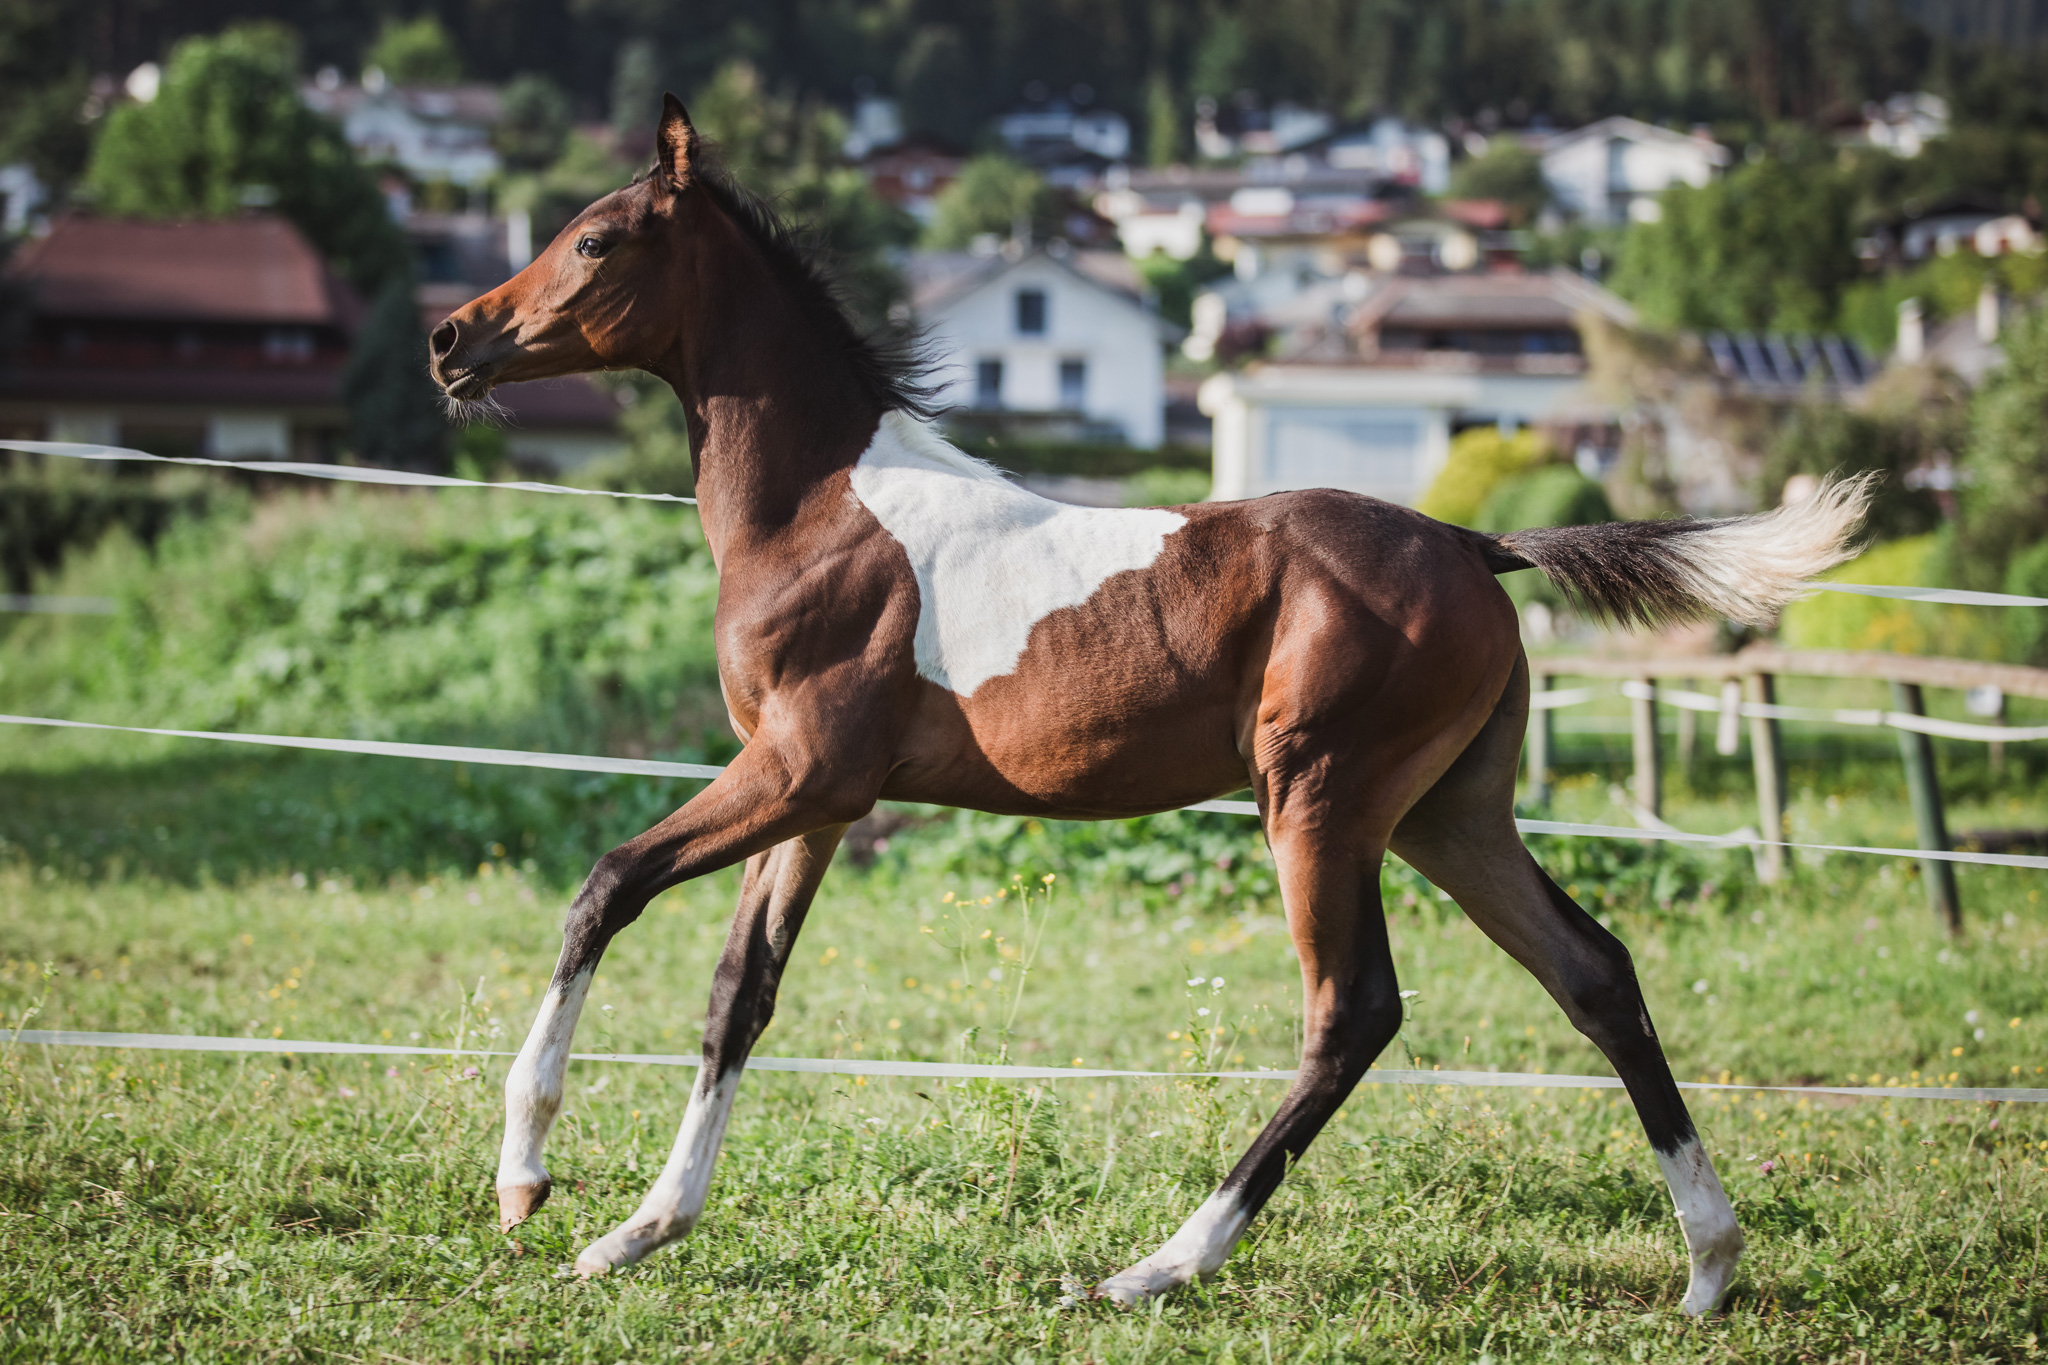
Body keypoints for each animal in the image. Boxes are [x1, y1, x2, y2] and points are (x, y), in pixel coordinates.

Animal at [432, 96, 1875, 1309]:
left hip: (1320, 798)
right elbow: (740, 991)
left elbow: (606, 884)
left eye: (595, 239)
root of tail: (1475, 546)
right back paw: (1708, 1269)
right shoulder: (820, 802)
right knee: (1594, 972)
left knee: (1353, 1014)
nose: (453, 340)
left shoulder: (797, 771)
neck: (822, 509)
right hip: (1449, 816)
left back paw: (1154, 1269)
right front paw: (638, 1231)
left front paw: (525, 1180)